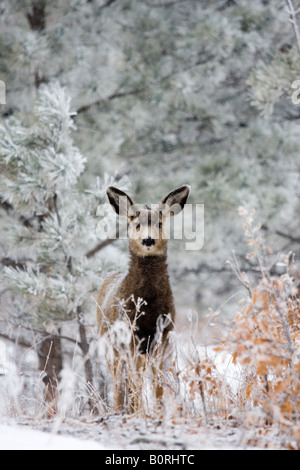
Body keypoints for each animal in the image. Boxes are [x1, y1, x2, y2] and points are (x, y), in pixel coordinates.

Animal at [97, 185, 191, 412]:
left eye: (159, 223)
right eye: (137, 224)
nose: (148, 240)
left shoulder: (162, 334)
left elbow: (156, 381)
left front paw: (157, 410)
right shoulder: (130, 333)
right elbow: (135, 380)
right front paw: (141, 411)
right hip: (109, 342)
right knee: (117, 379)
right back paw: (119, 409)